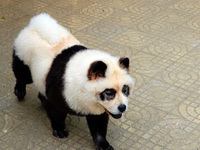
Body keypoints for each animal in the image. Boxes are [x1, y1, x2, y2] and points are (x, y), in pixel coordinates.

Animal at [12, 13, 134, 149]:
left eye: (125, 90)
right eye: (109, 92)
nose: (122, 107)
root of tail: (34, 24)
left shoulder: (98, 106)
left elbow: (98, 123)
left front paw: (103, 144)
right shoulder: (61, 90)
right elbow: (56, 112)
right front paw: (59, 130)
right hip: (23, 56)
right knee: (22, 76)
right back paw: (20, 91)